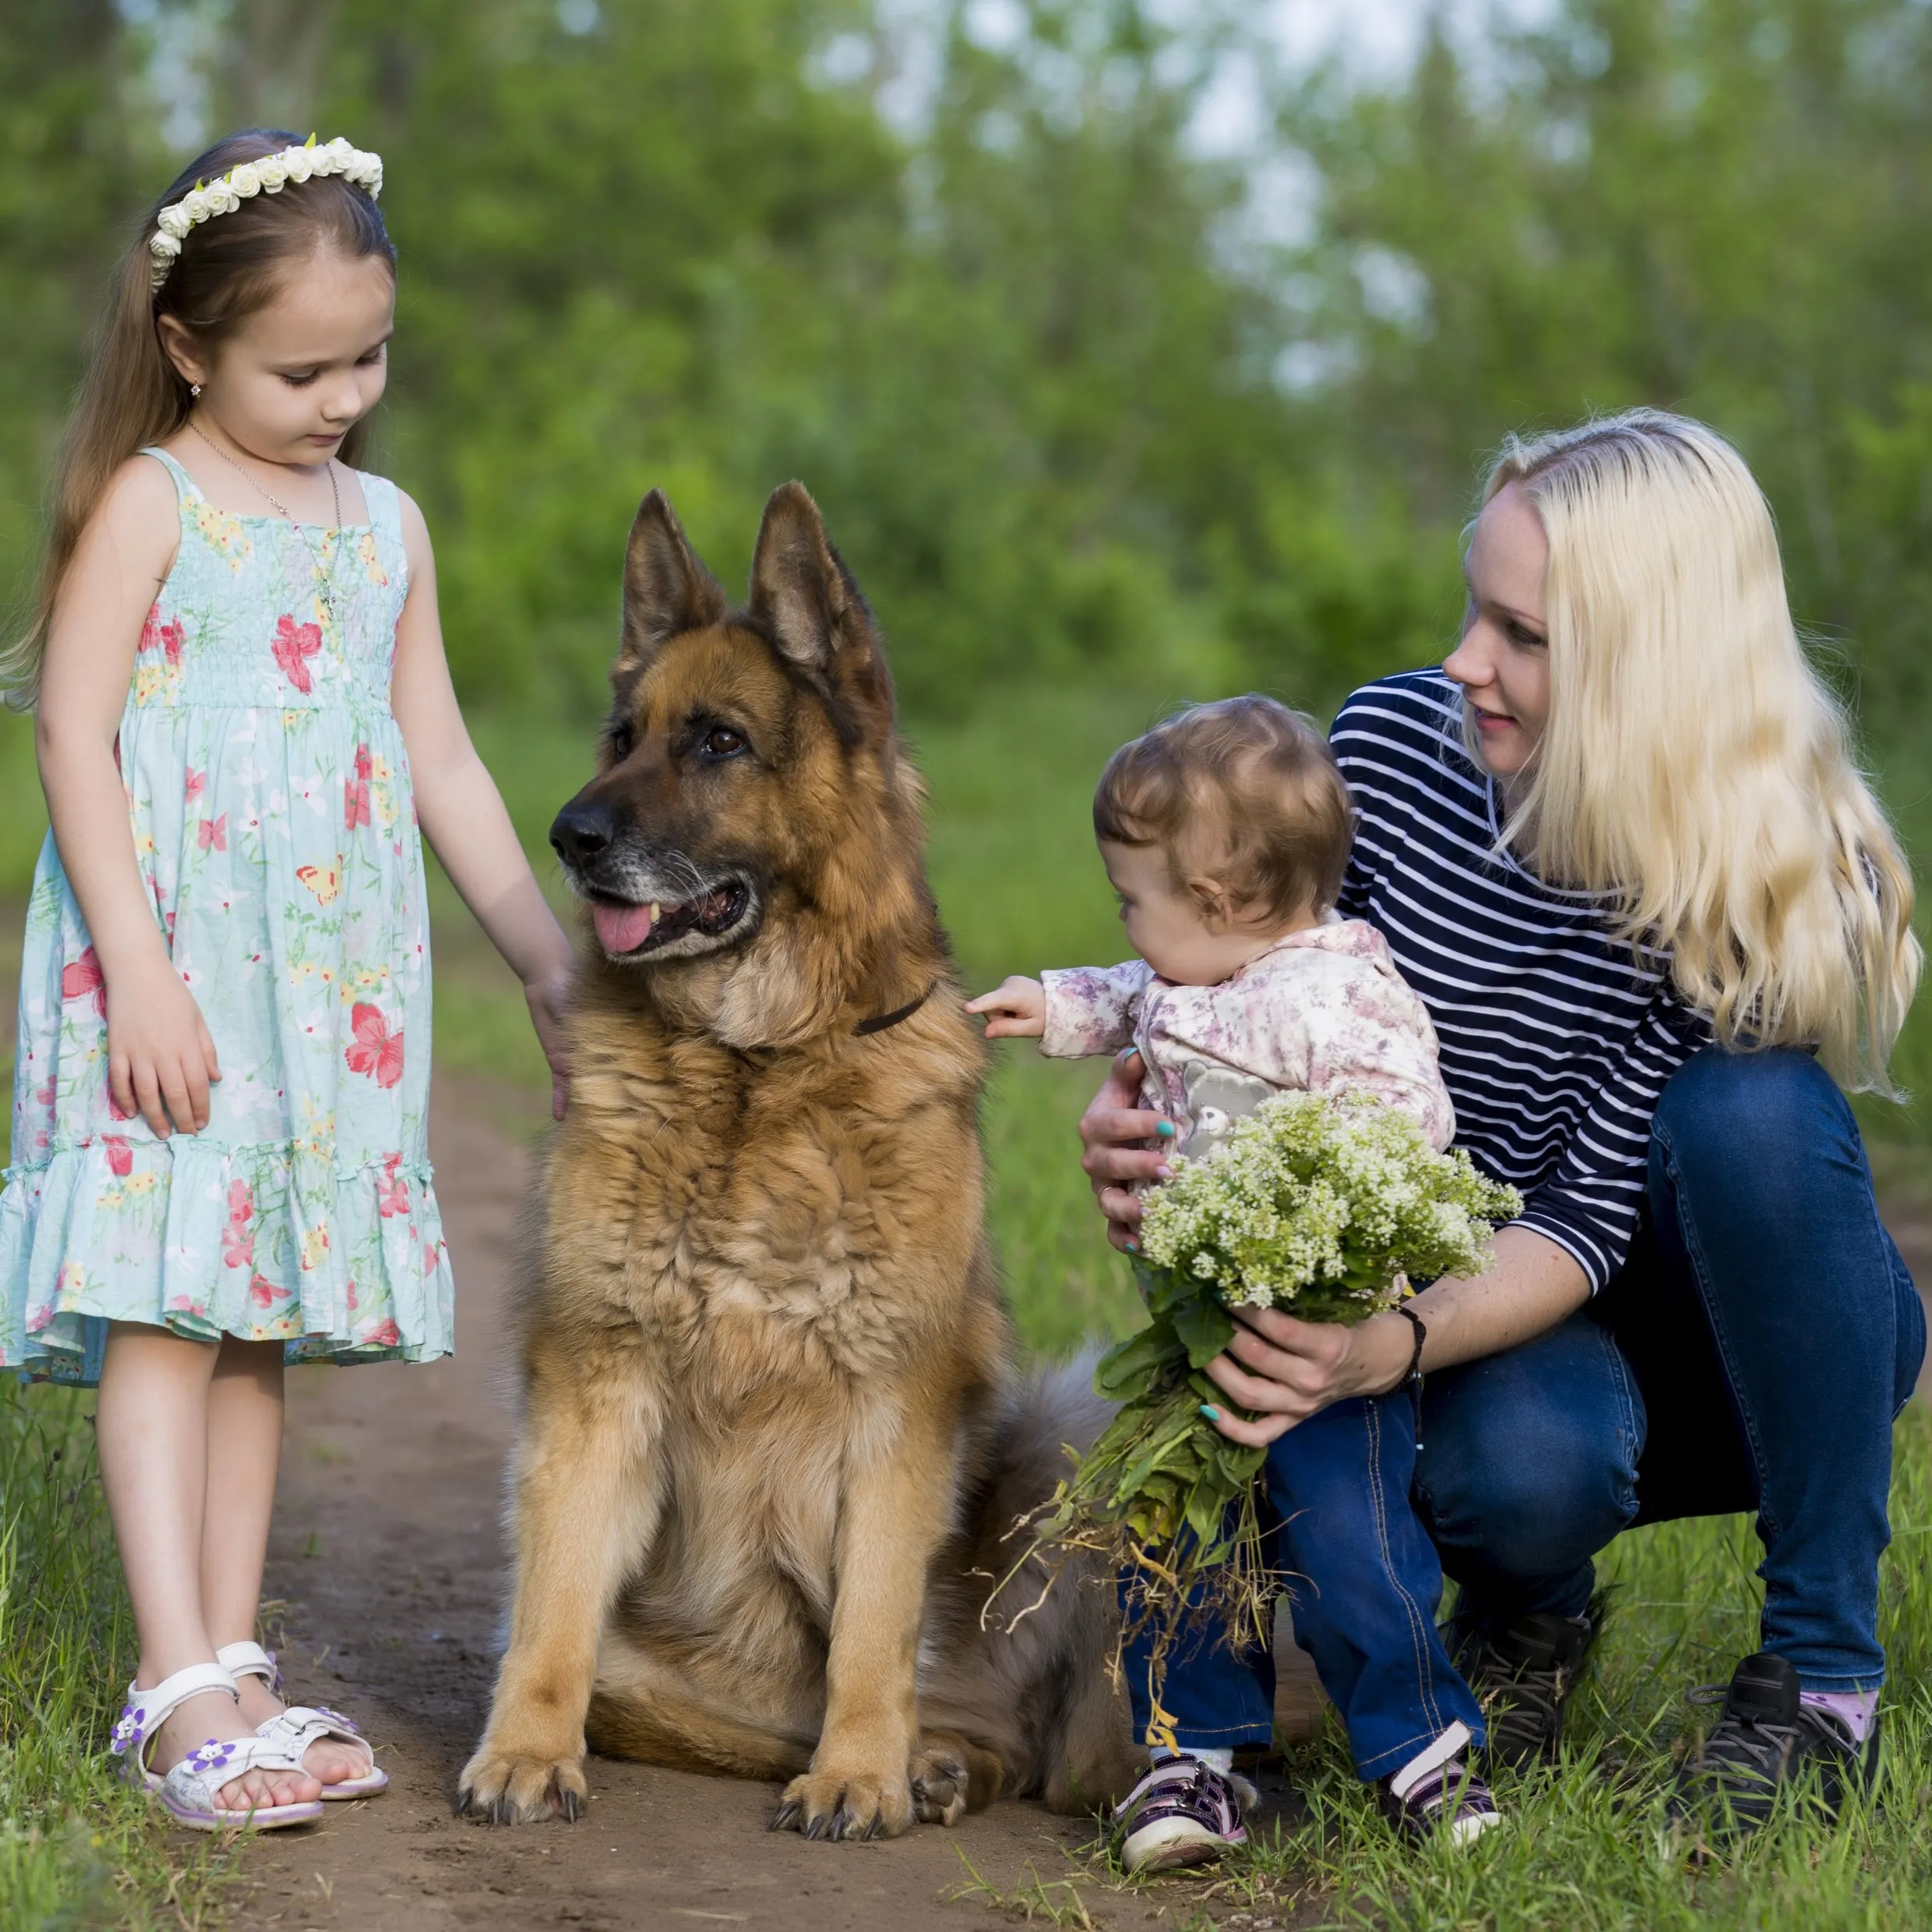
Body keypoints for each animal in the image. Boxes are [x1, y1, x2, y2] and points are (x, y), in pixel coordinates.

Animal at [457, 482, 1136, 1839]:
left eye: (716, 741)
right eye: (623, 735)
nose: (567, 834)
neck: (751, 1068)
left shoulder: (894, 1410)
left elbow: (872, 1623)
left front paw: (859, 1769)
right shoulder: (592, 1384)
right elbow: (549, 1613)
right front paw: (526, 1749)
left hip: (1063, 1428)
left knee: (981, 1720)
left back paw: (922, 1762)